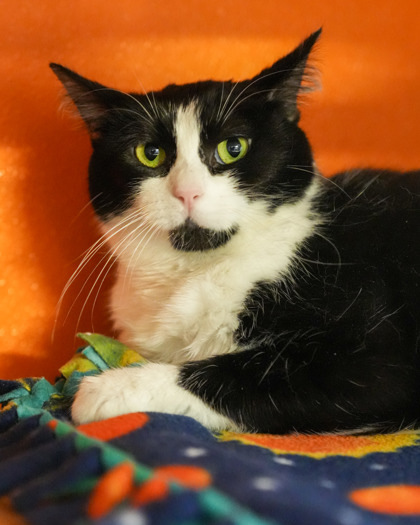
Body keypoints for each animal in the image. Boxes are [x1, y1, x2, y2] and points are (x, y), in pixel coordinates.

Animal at [50, 26, 420, 432]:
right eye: (150, 154)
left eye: (234, 147)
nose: (187, 191)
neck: (196, 271)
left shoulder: (372, 353)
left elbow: (244, 372)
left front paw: (109, 389)